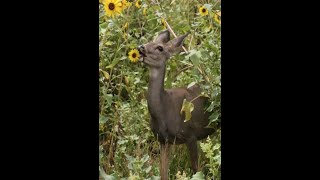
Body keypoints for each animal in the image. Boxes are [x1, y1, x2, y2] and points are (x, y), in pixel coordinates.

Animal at [137, 30, 215, 179]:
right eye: (149, 41)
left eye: (160, 48)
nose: (141, 47)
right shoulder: (163, 140)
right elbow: (163, 173)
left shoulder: (191, 135)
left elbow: (196, 171)